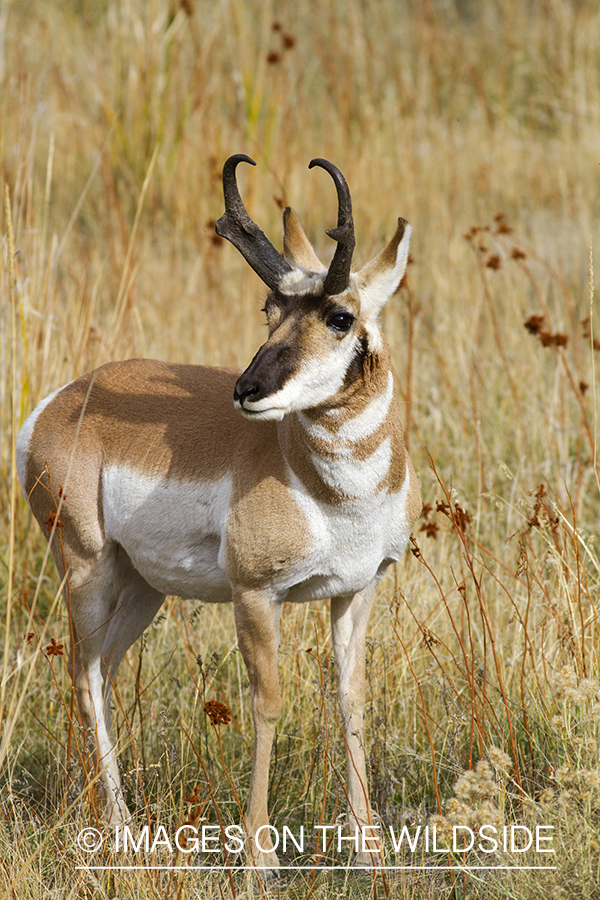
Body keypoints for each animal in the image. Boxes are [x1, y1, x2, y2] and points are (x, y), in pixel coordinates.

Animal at [17, 155, 421, 870]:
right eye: (270, 308)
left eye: (340, 316)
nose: (248, 389)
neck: (333, 493)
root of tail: (62, 401)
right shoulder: (256, 594)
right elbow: (267, 704)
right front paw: (260, 853)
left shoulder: (357, 590)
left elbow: (351, 701)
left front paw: (370, 848)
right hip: (87, 568)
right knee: (82, 672)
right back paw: (120, 827)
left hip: (141, 587)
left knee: (102, 670)